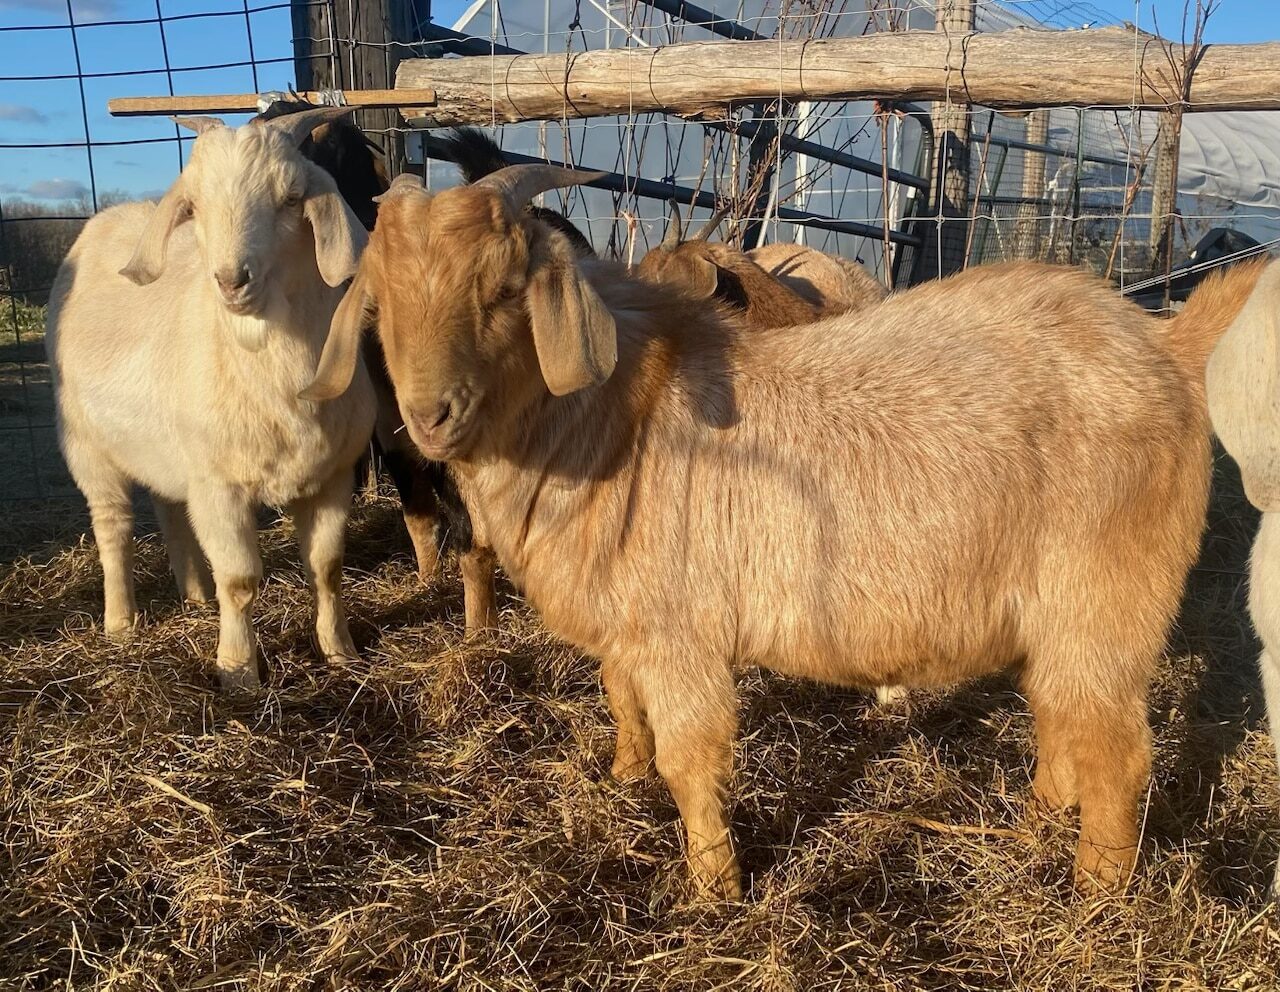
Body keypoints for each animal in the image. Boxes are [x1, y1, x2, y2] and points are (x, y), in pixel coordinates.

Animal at [46, 109, 375, 690]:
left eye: (292, 198)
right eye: (194, 206)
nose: (231, 280)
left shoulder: (332, 476)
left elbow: (327, 568)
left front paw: (342, 654)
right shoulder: (219, 486)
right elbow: (241, 581)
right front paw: (239, 672)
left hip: (165, 449)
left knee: (168, 506)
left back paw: (195, 595)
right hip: (86, 443)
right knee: (113, 526)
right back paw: (120, 623)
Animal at [302, 165, 1244, 900]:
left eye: (504, 289)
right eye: (379, 305)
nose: (430, 415)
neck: (612, 423)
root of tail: (1162, 343)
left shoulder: (679, 631)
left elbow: (691, 757)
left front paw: (714, 885)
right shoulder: (628, 624)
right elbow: (620, 698)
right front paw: (623, 775)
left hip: (1107, 597)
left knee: (1118, 752)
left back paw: (1095, 893)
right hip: (1059, 615)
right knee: (1061, 712)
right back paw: (1041, 817)